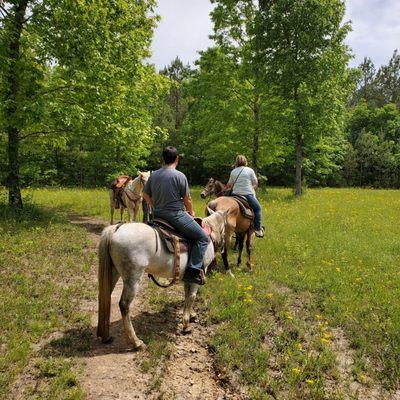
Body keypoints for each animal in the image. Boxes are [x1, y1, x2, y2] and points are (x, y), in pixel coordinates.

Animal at [97, 208, 227, 348]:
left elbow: (187, 295)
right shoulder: (200, 272)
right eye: (225, 227)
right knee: (124, 305)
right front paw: (186, 324)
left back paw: (105, 336)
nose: (222, 245)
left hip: (113, 272)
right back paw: (136, 341)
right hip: (132, 279)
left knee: (104, 296)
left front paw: (191, 314)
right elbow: (192, 296)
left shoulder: (188, 276)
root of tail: (116, 229)